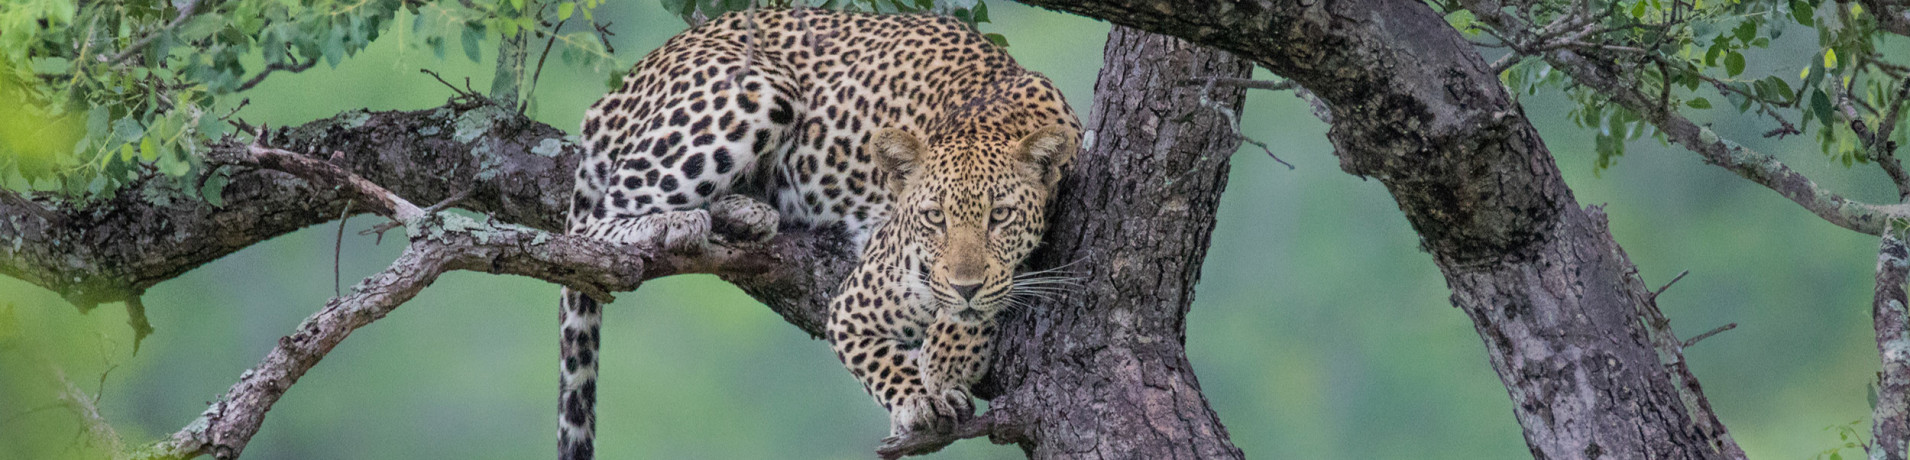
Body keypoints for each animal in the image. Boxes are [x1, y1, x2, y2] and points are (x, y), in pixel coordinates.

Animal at [561, 8, 1080, 458]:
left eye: (1001, 216)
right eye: (935, 217)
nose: (965, 285)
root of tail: (619, 88)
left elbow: (986, 296)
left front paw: (947, 358)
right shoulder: (854, 305)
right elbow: (880, 357)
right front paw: (920, 396)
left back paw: (746, 212)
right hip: (758, 88)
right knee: (595, 222)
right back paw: (676, 221)